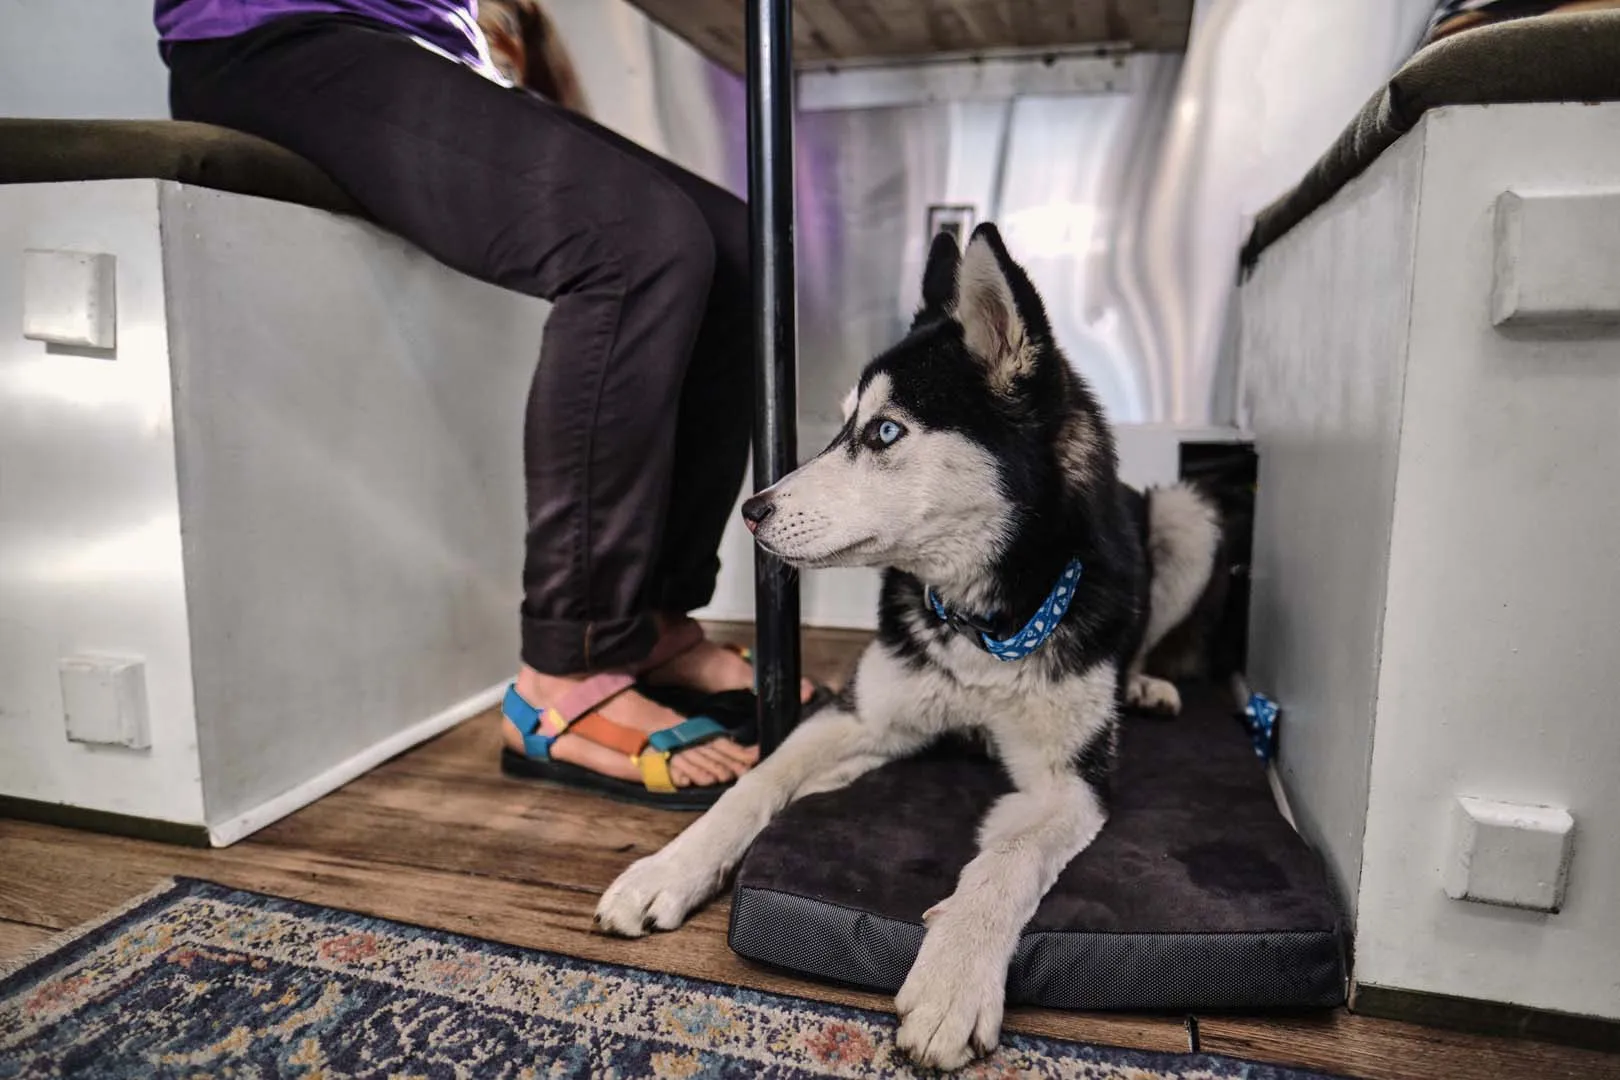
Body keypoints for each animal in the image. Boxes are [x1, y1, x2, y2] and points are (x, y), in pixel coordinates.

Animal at [602, 223, 1218, 1068]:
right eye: (839, 426)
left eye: (884, 432)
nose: (753, 512)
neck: (980, 625)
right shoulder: (858, 716)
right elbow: (756, 783)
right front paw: (668, 868)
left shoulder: (1069, 783)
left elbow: (1005, 862)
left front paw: (954, 981)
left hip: (1188, 516)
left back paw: (1148, 684)